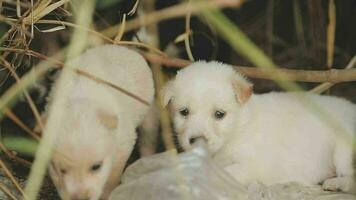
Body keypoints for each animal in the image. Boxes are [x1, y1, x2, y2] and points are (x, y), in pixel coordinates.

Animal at [44, 45, 154, 200]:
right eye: (61, 170)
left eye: (96, 166)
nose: (81, 198)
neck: (80, 107)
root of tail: (119, 46)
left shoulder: (124, 145)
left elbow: (113, 177)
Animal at [163, 61, 356, 194]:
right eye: (184, 112)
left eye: (219, 114)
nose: (196, 140)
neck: (239, 127)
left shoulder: (252, 165)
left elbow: (225, 172)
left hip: (343, 148)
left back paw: (337, 183)